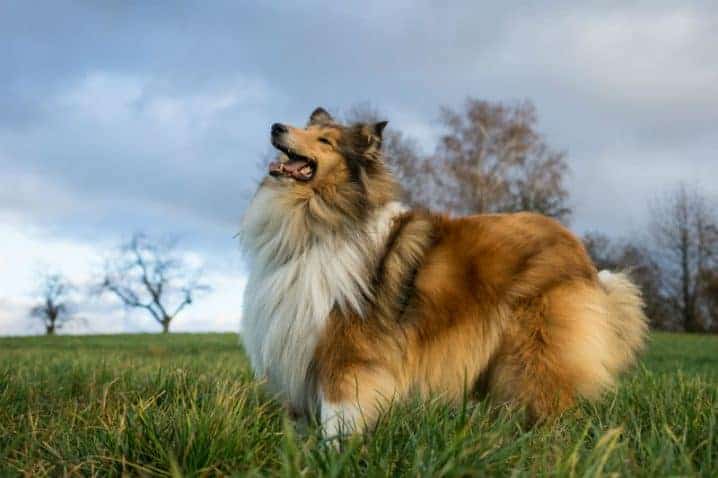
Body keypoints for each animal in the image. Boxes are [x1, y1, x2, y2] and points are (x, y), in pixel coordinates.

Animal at [239, 106, 648, 436]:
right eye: (306, 128)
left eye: (324, 139)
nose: (276, 127)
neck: (317, 225)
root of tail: (580, 251)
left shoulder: (345, 353)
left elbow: (337, 419)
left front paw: (333, 456)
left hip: (535, 351)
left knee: (551, 406)